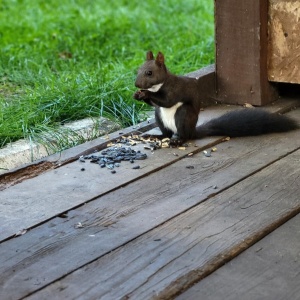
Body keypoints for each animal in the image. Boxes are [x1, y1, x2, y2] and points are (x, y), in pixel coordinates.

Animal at [133, 51, 298, 145]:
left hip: (183, 115)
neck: (158, 86)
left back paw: (179, 140)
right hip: (159, 117)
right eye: (138, 70)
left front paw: (145, 94)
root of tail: (192, 131)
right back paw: (157, 137)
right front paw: (138, 95)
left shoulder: (175, 90)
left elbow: (167, 101)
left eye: (149, 73)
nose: (136, 84)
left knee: (184, 135)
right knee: (166, 134)